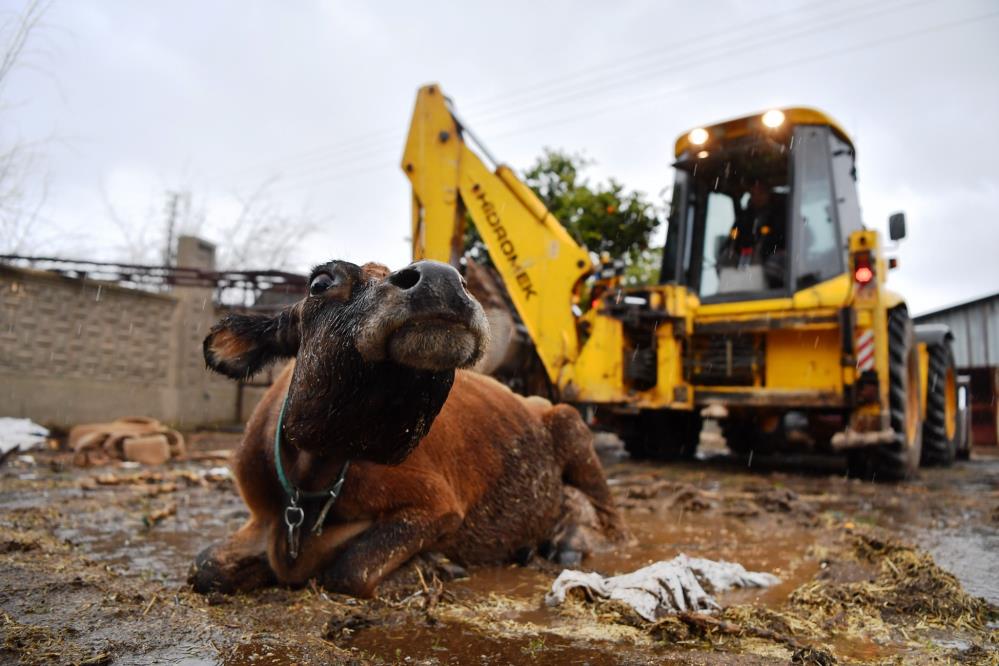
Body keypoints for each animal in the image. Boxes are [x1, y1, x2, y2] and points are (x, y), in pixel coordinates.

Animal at [188, 256, 624, 592]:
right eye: (320, 283)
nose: (442, 278)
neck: (310, 479)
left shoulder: (439, 506)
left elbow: (350, 569)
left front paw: (433, 564)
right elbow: (203, 566)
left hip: (570, 424)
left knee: (612, 519)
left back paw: (571, 541)